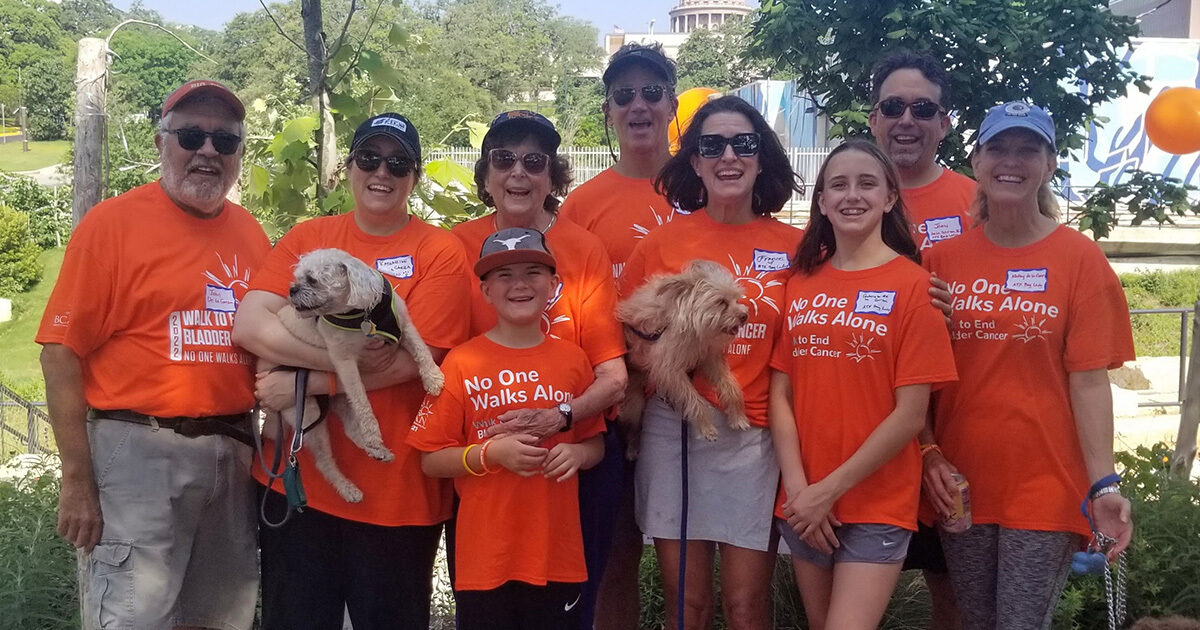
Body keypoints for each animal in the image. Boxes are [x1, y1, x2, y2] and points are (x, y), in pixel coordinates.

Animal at [262, 246, 446, 501]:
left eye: (312, 279)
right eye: (298, 277)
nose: (292, 289)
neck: (361, 312)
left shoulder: (405, 327)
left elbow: (421, 349)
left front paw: (433, 377)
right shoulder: (345, 363)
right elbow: (362, 402)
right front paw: (373, 433)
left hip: (337, 400)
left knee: (349, 428)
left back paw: (377, 451)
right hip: (307, 412)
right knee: (324, 461)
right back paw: (349, 487)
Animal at [619, 256, 748, 456]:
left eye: (737, 299)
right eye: (721, 302)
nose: (745, 315)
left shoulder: (709, 358)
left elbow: (731, 387)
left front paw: (738, 417)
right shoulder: (669, 370)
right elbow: (695, 400)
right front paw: (707, 429)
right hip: (634, 402)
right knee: (631, 426)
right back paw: (632, 449)